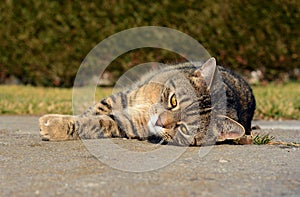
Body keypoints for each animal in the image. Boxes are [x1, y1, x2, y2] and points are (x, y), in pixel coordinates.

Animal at [39, 57, 255, 145]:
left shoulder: (127, 123)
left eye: (185, 129)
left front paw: (54, 126)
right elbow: (97, 109)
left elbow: (98, 122)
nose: (160, 121)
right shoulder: (125, 96)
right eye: (174, 101)